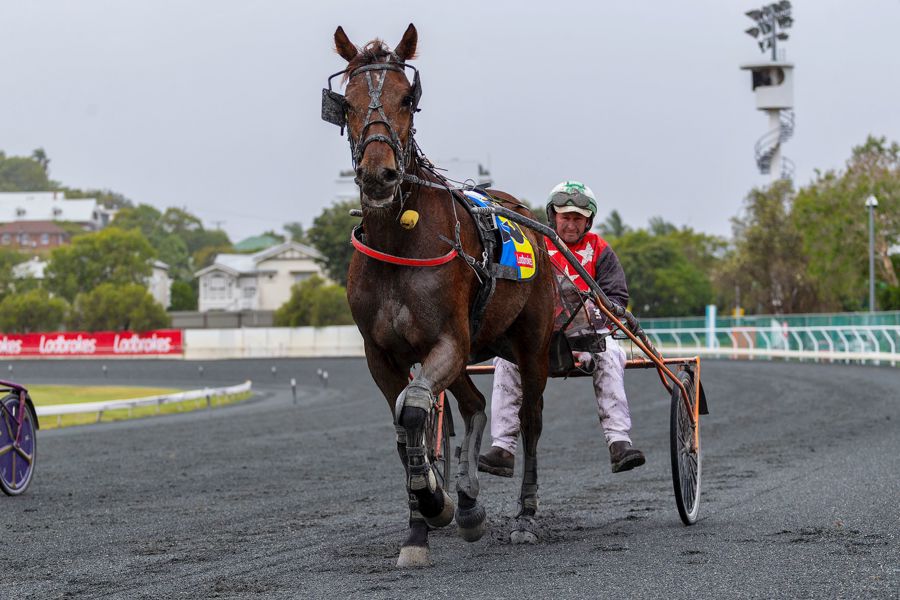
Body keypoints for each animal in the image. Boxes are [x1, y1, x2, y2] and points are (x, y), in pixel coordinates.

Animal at [324, 23, 556, 567]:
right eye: (347, 102)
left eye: (408, 99)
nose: (378, 174)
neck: (400, 241)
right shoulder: (382, 354)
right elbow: (404, 424)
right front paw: (424, 520)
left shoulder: (448, 340)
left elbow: (413, 410)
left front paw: (435, 501)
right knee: (471, 405)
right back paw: (467, 503)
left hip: (532, 342)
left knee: (530, 420)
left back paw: (525, 516)